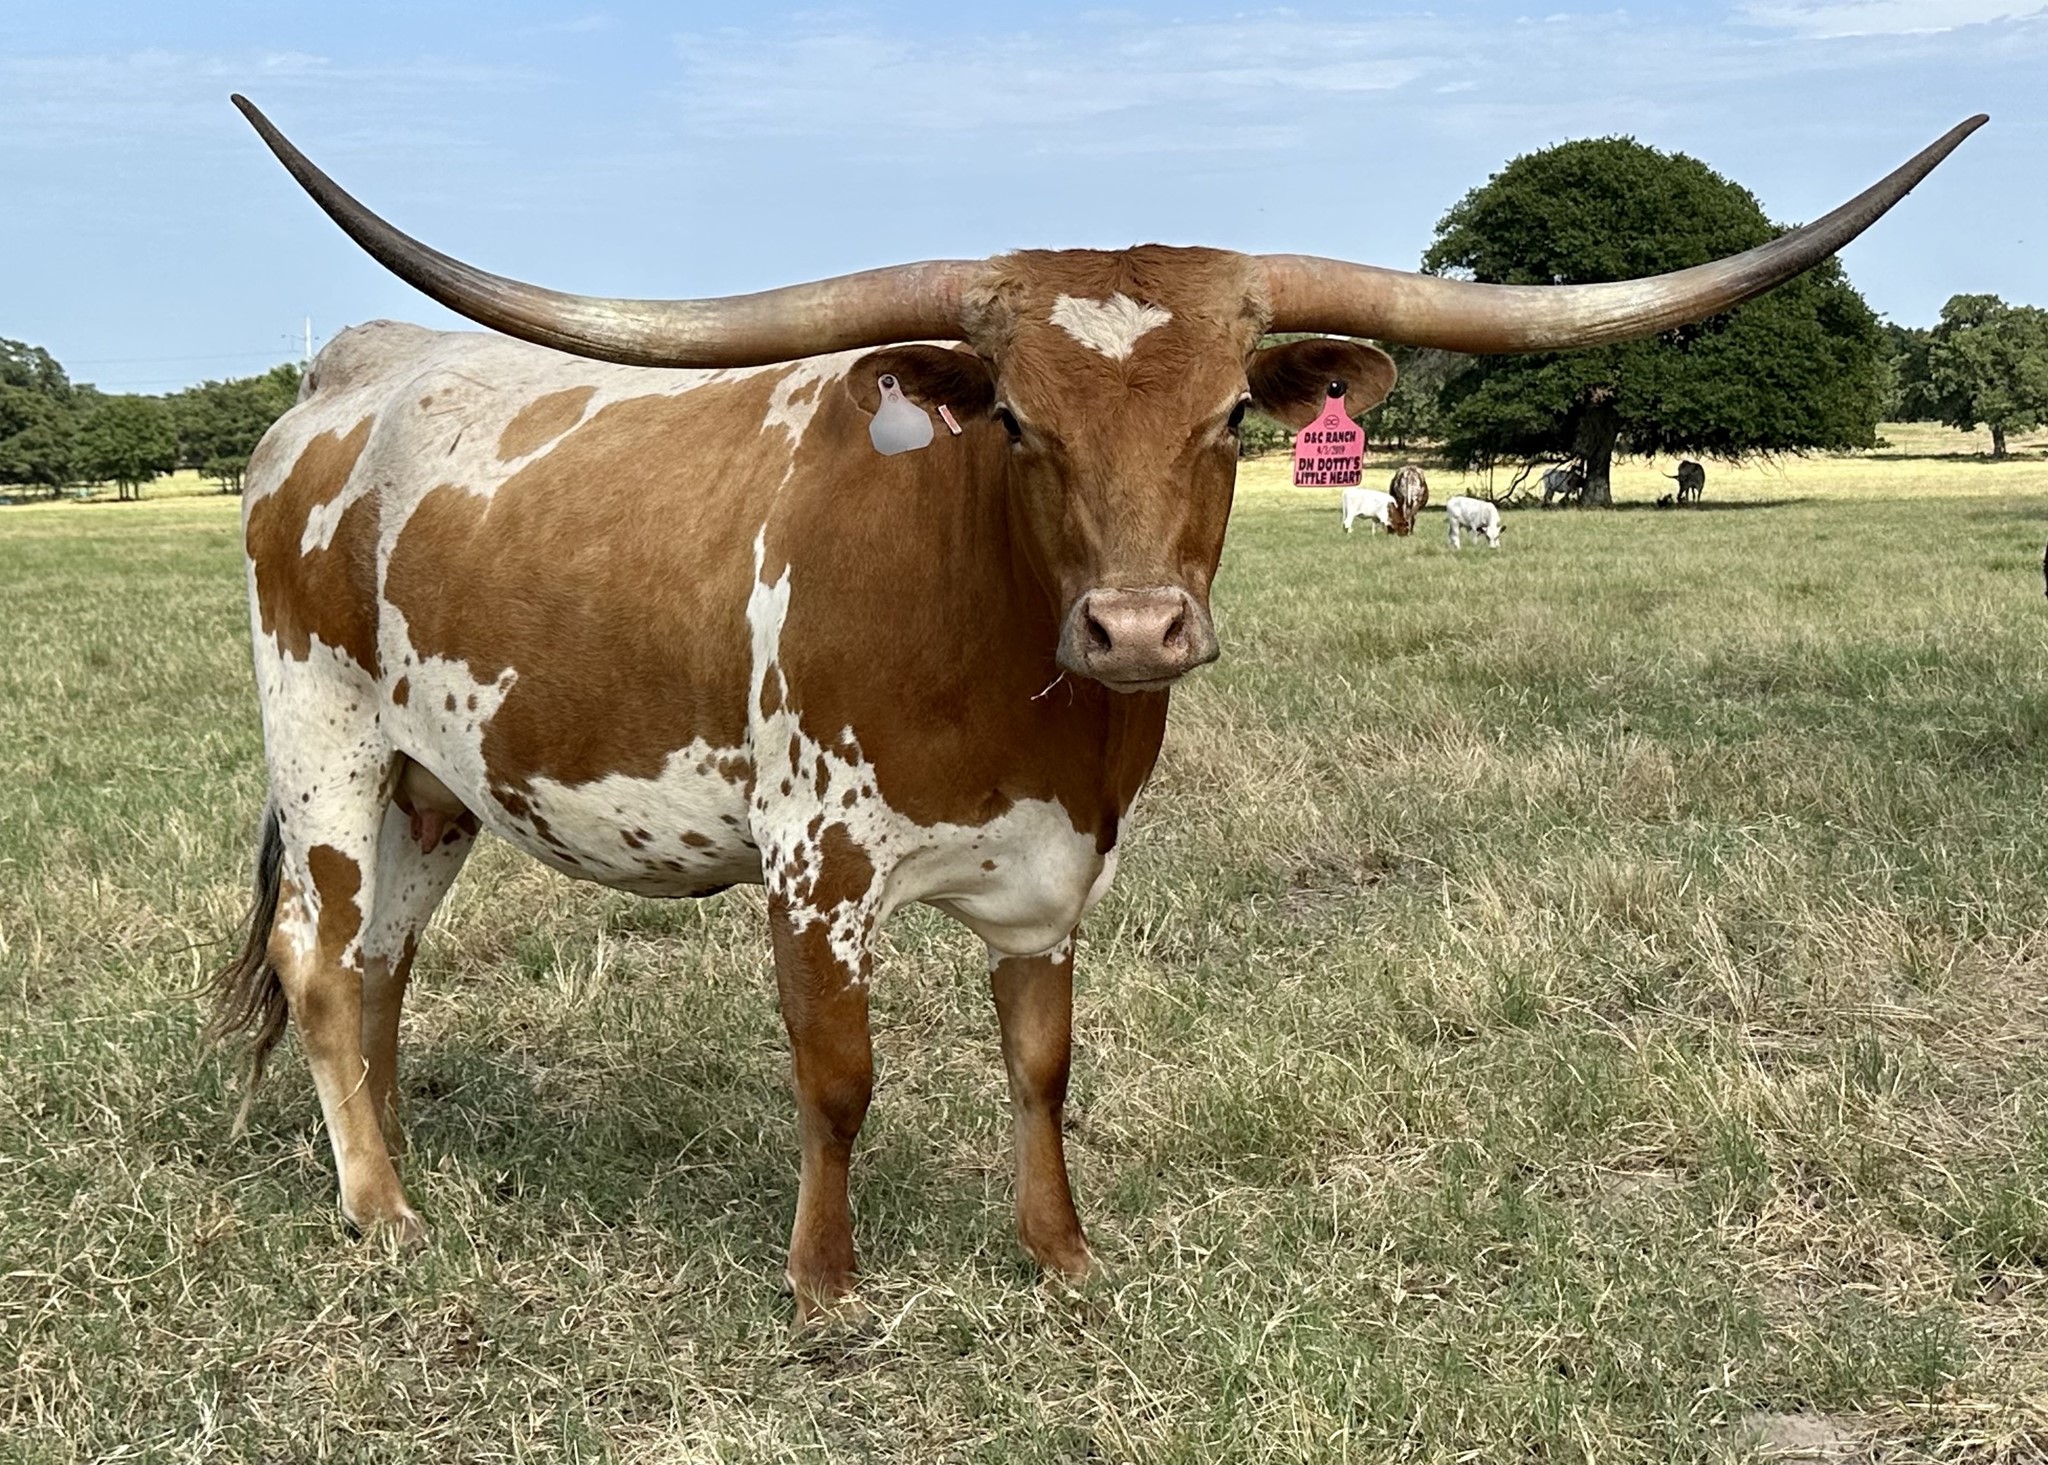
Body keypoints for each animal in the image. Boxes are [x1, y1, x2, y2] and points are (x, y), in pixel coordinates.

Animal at [206, 96, 1982, 1320]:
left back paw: (393, 1164)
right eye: (1017, 420)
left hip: (438, 780)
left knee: (381, 967)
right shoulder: (812, 866)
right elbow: (837, 1075)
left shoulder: (1058, 870)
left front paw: (1058, 1254)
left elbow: (1042, 1066)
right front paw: (824, 1283)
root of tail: (349, 373)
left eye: (1229, 417)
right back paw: (382, 1213)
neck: (1014, 680)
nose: (1136, 625)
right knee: (319, 957)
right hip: (326, 741)